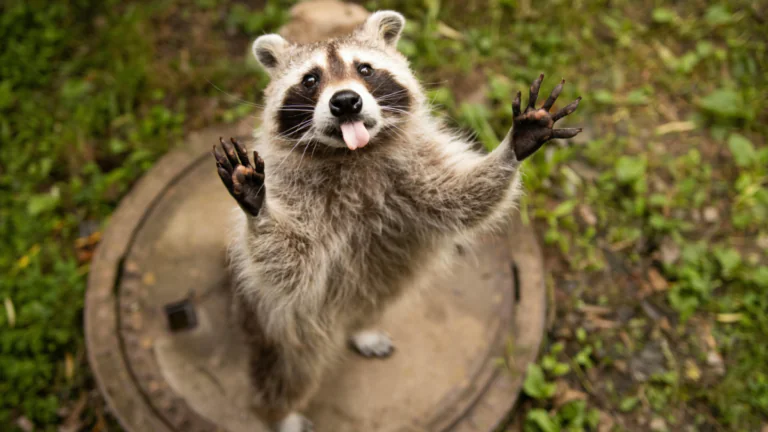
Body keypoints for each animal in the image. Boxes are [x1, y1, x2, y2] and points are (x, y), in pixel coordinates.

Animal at [212, 10, 581, 432]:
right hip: (280, 325)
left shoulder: (418, 169)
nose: (346, 102)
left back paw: (363, 326)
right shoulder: (292, 192)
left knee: (376, 297)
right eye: (310, 80)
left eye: (365, 69)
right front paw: (258, 208)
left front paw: (515, 144)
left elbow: (463, 197)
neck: (352, 154)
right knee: (287, 369)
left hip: (382, 281)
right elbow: (289, 264)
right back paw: (283, 412)